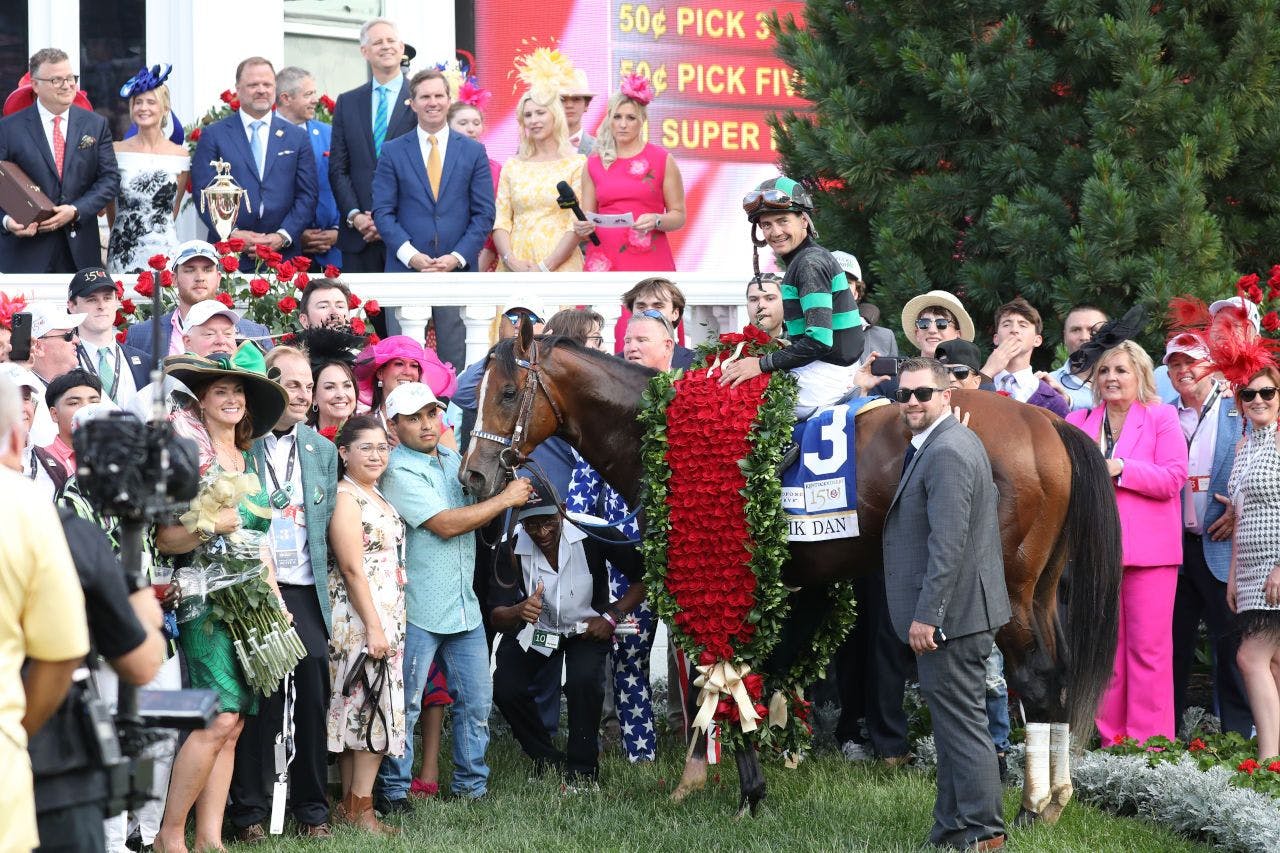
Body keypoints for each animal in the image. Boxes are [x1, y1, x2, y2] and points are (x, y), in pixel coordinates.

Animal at [463, 322, 1121, 819]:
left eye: (506, 393)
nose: (474, 474)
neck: (657, 433)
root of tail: (1046, 424)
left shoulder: (706, 570)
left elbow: (718, 669)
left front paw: (741, 788)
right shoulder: (792, 584)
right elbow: (758, 670)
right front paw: (723, 772)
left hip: (1007, 586)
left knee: (1034, 676)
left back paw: (1032, 805)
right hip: (1041, 587)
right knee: (1056, 674)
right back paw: (1056, 796)